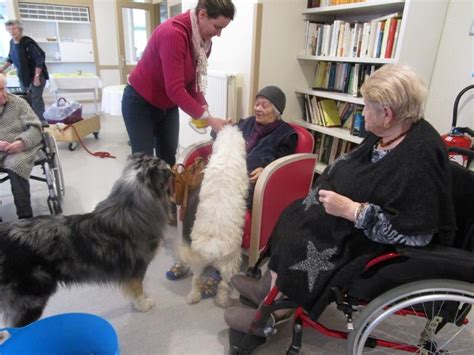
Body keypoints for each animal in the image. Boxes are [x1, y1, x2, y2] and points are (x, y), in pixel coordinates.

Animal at [0, 154, 170, 330]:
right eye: (161, 164)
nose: (170, 164)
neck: (131, 208)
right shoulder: (137, 269)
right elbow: (138, 291)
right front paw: (143, 305)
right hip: (31, 299)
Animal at [180, 125, 250, 308]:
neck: (228, 151)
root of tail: (211, 248)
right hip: (230, 262)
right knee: (224, 285)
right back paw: (223, 301)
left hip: (198, 261)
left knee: (196, 280)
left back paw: (193, 296)